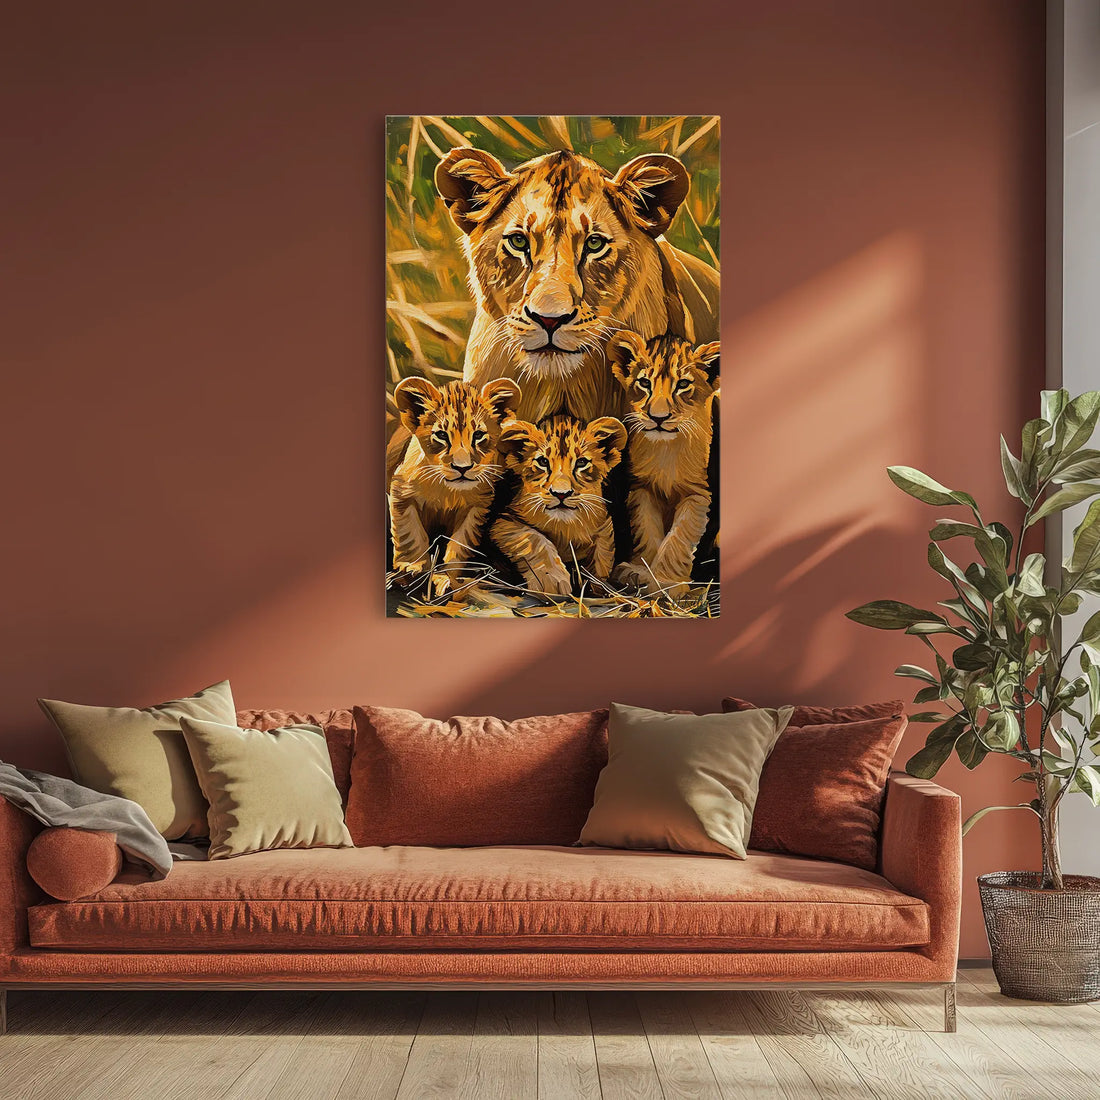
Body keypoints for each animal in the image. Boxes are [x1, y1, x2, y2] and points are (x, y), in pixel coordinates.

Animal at [389, 376, 520, 595]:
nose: (462, 468)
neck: (447, 491)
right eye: (442, 435)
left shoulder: (476, 508)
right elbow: (411, 535)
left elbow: (458, 545)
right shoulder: (401, 492)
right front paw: (412, 568)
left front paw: (449, 579)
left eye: (478, 435)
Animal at [492, 414, 628, 597]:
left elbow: (602, 555)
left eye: (581, 462)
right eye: (543, 461)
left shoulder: (603, 526)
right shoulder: (503, 521)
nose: (561, 493)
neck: (565, 526)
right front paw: (552, 581)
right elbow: (534, 538)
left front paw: (599, 586)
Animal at [607, 331, 720, 592]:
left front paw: (667, 583)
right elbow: (647, 531)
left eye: (683, 385)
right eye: (645, 383)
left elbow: (679, 537)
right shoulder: (643, 489)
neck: (666, 451)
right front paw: (639, 572)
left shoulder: (699, 493)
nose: (658, 418)